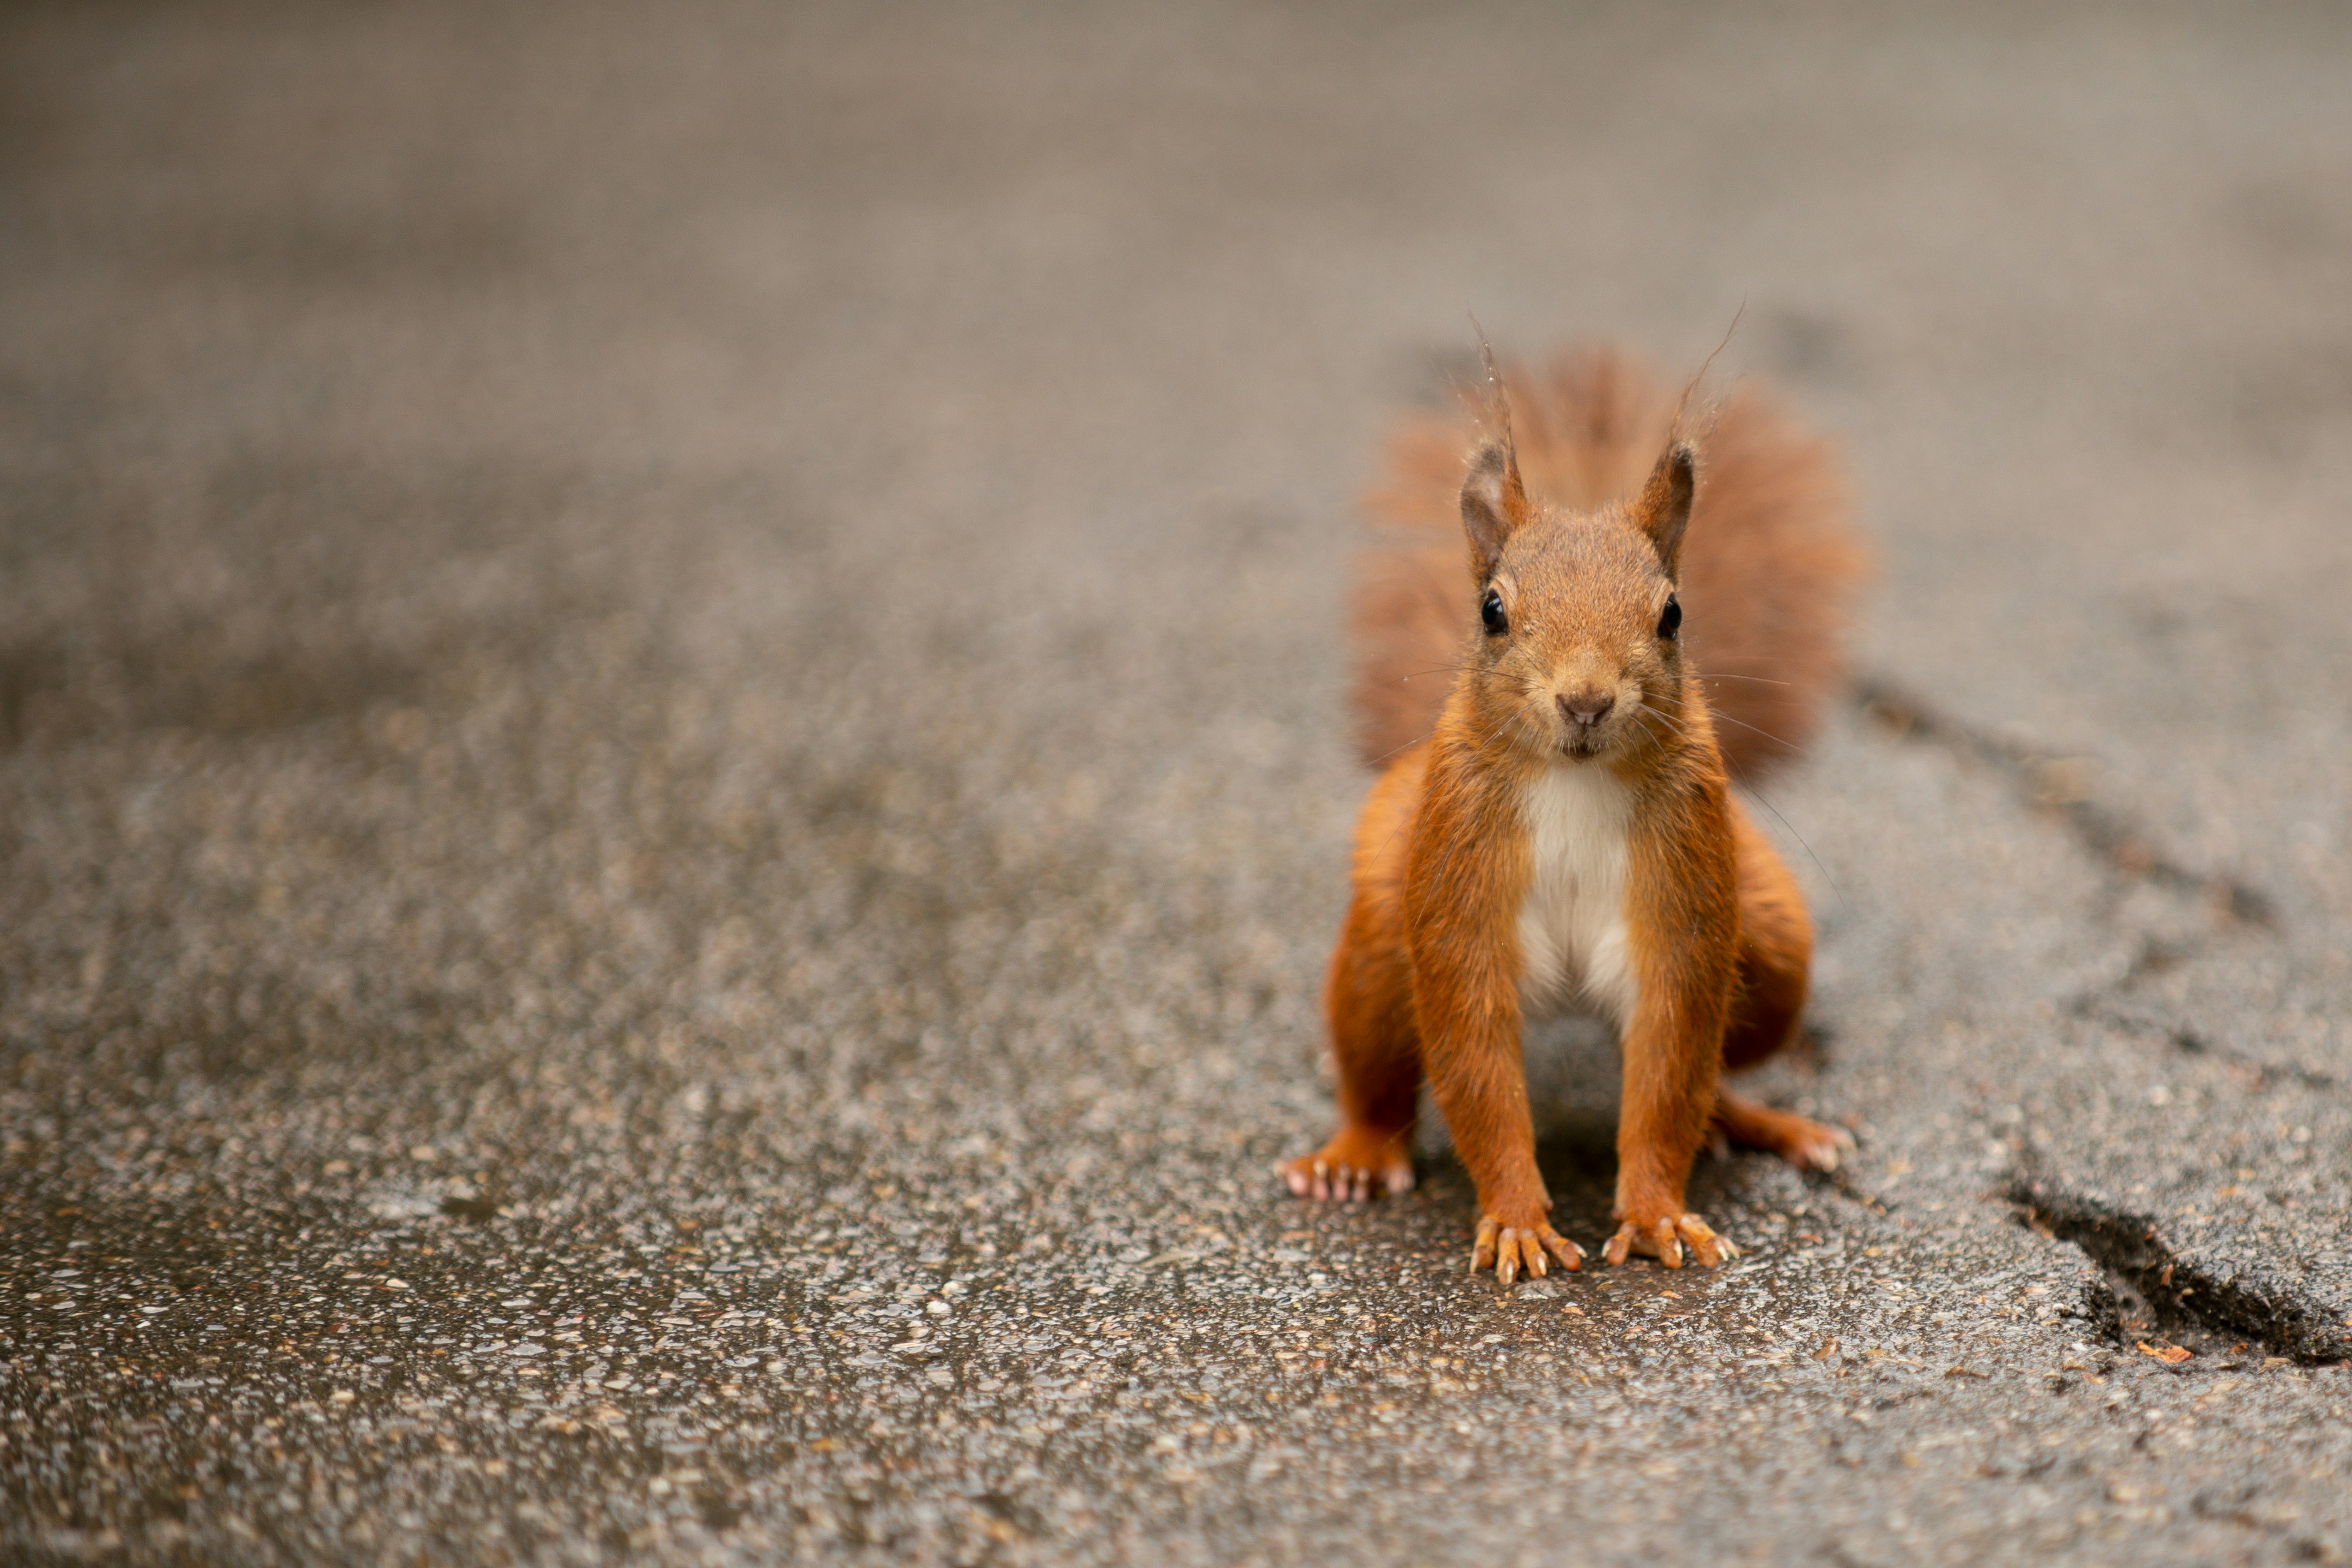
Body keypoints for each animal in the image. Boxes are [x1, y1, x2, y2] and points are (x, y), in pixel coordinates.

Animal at [1279, 345, 1863, 1288]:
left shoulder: (1687, 891)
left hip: (1775, 947)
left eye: (1673, 613)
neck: (1574, 782)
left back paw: (1765, 1125)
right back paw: (1355, 1157)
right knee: (1373, 1059)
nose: (1586, 700)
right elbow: (1476, 1063)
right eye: (1491, 611)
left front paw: (1658, 1211)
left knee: (1716, 1074)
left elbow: (1670, 1065)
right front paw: (1517, 1217)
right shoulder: (1458, 888)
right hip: (1378, 933)